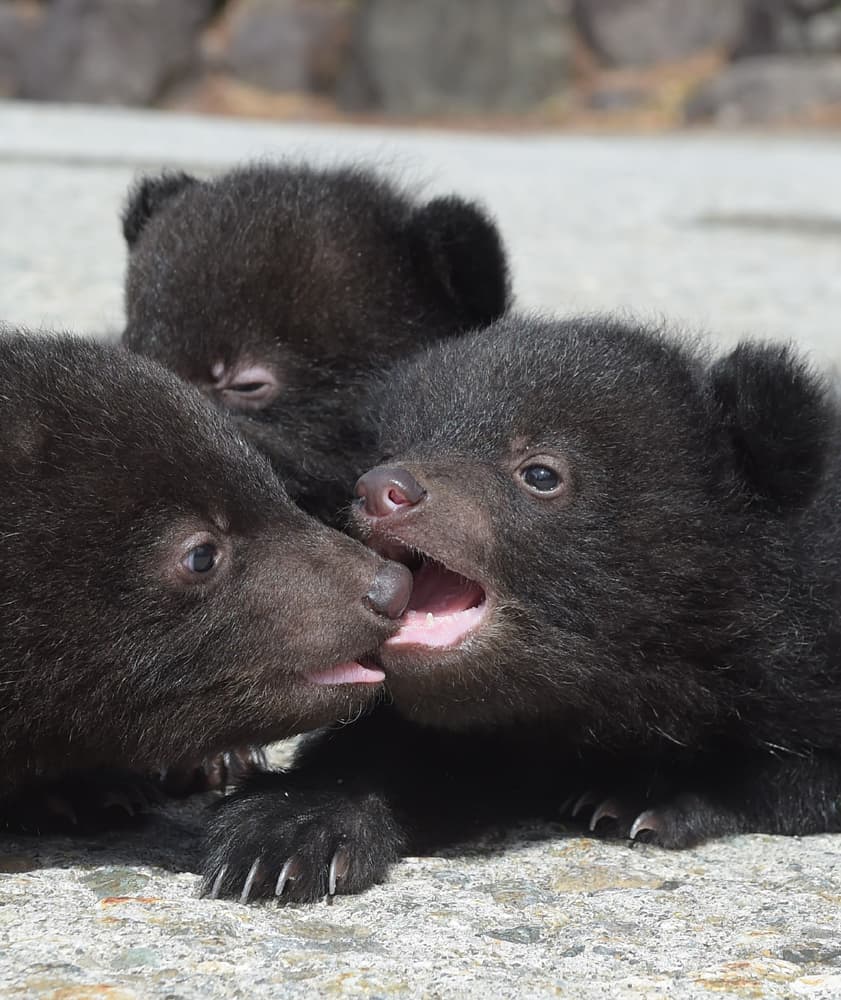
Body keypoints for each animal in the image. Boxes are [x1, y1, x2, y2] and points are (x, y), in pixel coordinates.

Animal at [197, 312, 841, 903]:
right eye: (394, 447)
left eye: (540, 473)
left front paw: (647, 792)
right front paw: (288, 827)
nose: (383, 489)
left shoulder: (805, 650)